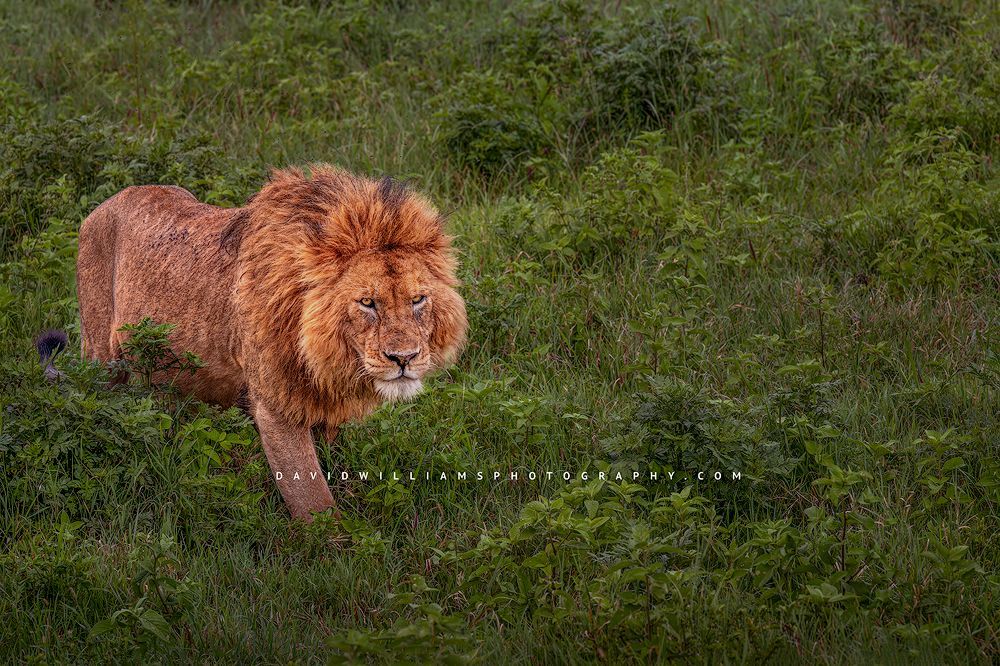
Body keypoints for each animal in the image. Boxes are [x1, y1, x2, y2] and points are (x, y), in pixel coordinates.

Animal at [74, 165, 467, 520]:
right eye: (367, 302)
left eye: (418, 300)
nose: (404, 357)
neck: (324, 355)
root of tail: (103, 205)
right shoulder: (277, 405)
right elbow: (313, 501)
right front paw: (336, 545)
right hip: (101, 357)